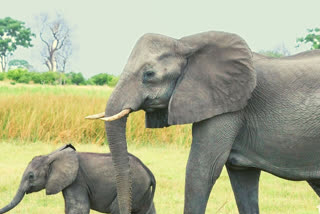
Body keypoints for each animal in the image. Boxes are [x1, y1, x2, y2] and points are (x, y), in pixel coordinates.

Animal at [0, 145, 156, 213]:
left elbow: (79, 209)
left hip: (134, 186)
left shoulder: (77, 181)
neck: (52, 156)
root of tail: (149, 173)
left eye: (31, 176)